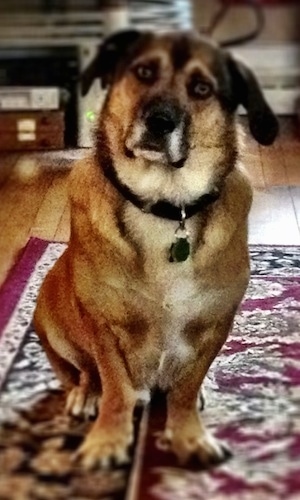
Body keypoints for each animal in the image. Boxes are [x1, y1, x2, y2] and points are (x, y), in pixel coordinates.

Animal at [33, 31, 278, 468]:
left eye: (202, 88)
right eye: (143, 71)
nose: (159, 122)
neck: (167, 206)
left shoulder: (216, 322)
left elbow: (184, 389)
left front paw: (188, 435)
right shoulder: (103, 323)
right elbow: (115, 386)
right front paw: (108, 440)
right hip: (49, 316)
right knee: (81, 370)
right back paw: (86, 393)